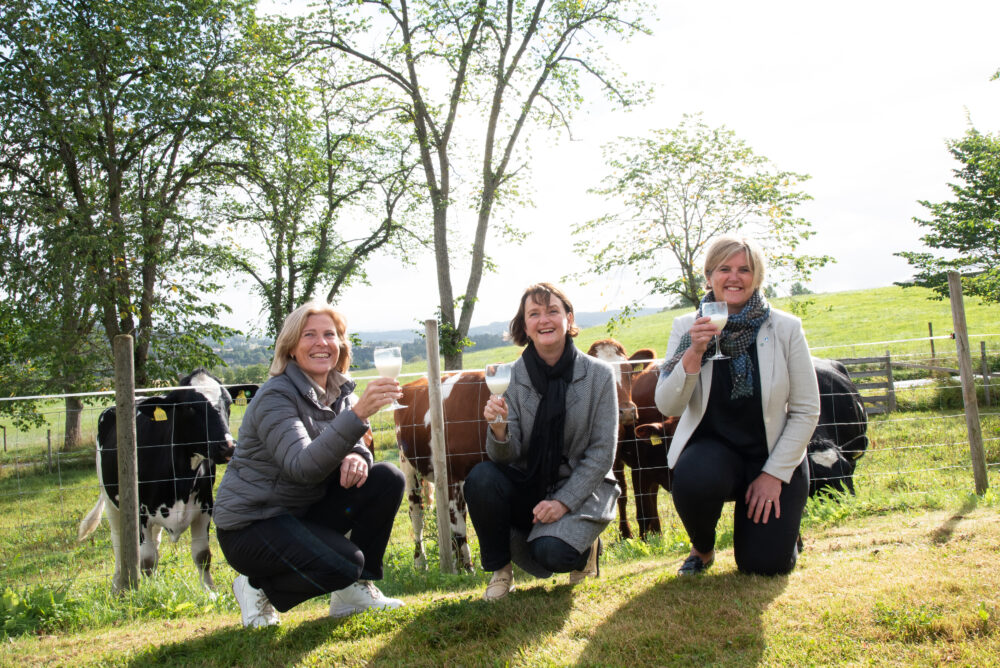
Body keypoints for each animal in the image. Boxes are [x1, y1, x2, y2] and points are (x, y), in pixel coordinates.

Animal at [78, 368, 258, 592]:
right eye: (190, 407)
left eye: (228, 404)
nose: (228, 447)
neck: (180, 478)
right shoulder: (140, 512)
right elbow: (146, 560)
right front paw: (148, 592)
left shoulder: (205, 507)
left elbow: (202, 555)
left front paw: (210, 591)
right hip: (111, 499)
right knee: (119, 541)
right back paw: (118, 585)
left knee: (155, 542)